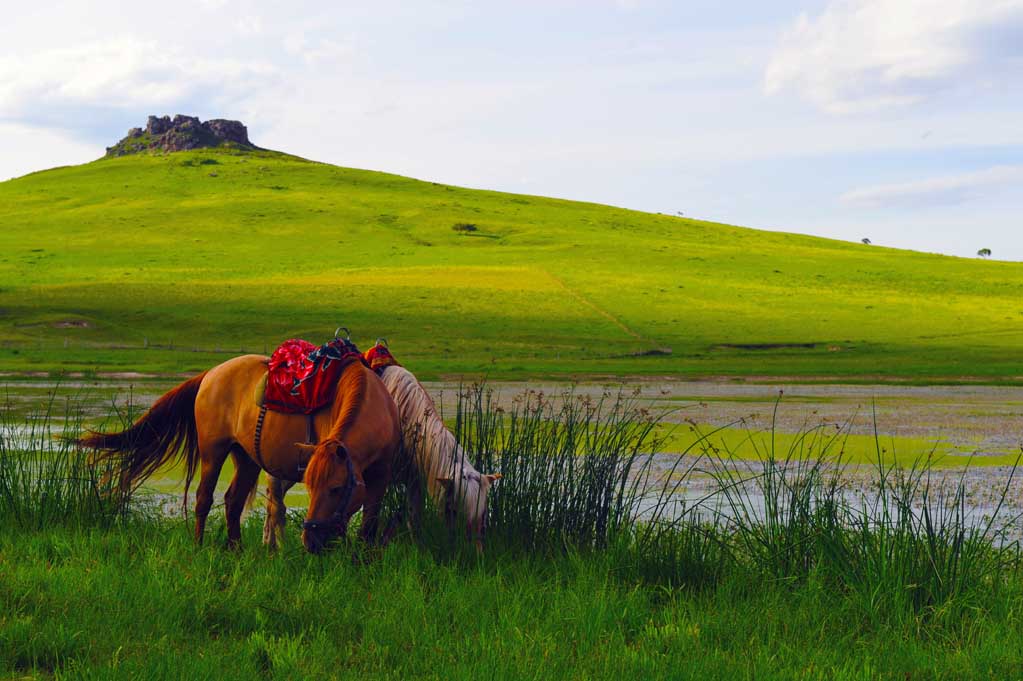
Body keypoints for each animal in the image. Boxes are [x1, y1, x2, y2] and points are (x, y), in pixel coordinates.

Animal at [80, 349, 398, 552]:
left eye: (335, 488)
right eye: (310, 487)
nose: (310, 542)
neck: (375, 410)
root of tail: (211, 374)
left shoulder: (380, 477)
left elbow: (369, 521)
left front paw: (365, 560)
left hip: (246, 458)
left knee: (233, 501)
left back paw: (236, 549)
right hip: (213, 452)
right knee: (204, 498)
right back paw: (199, 546)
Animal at [265, 364, 501, 548]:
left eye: (483, 513)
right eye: (452, 510)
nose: (473, 553)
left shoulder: (414, 480)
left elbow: (414, 519)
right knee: (275, 501)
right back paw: (274, 546)